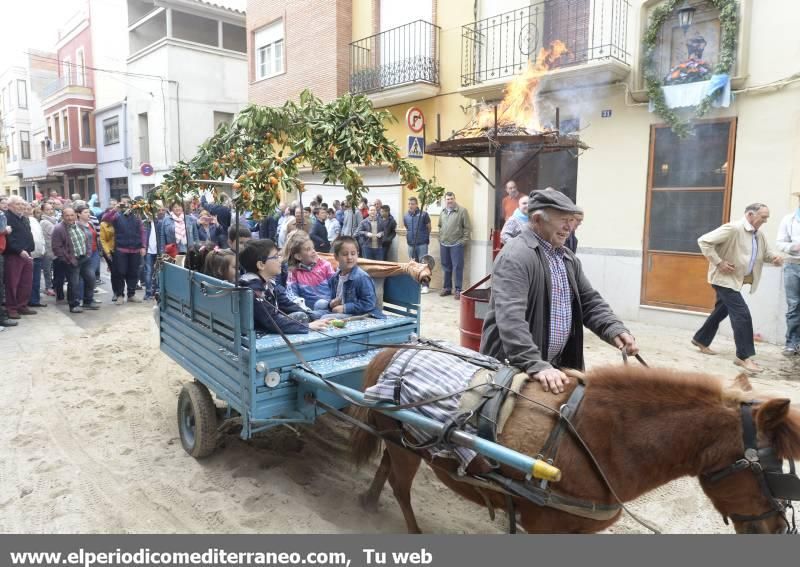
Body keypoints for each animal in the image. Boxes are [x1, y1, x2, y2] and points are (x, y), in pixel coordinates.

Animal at [354, 348, 800, 536]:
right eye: (772, 471)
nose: (779, 528)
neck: (597, 438)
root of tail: (392, 351)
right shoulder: (546, 527)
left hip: (397, 439)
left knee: (386, 465)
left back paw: (369, 500)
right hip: (405, 445)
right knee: (400, 485)